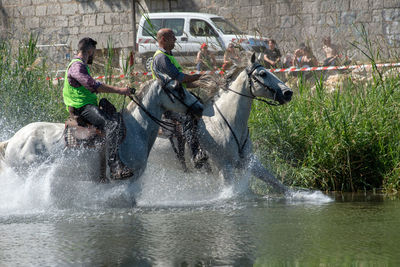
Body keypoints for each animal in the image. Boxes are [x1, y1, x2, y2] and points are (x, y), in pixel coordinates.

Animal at [149, 52, 290, 193]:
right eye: (263, 74)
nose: (288, 93)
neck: (222, 122)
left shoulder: (248, 161)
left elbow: (278, 184)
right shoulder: (224, 167)